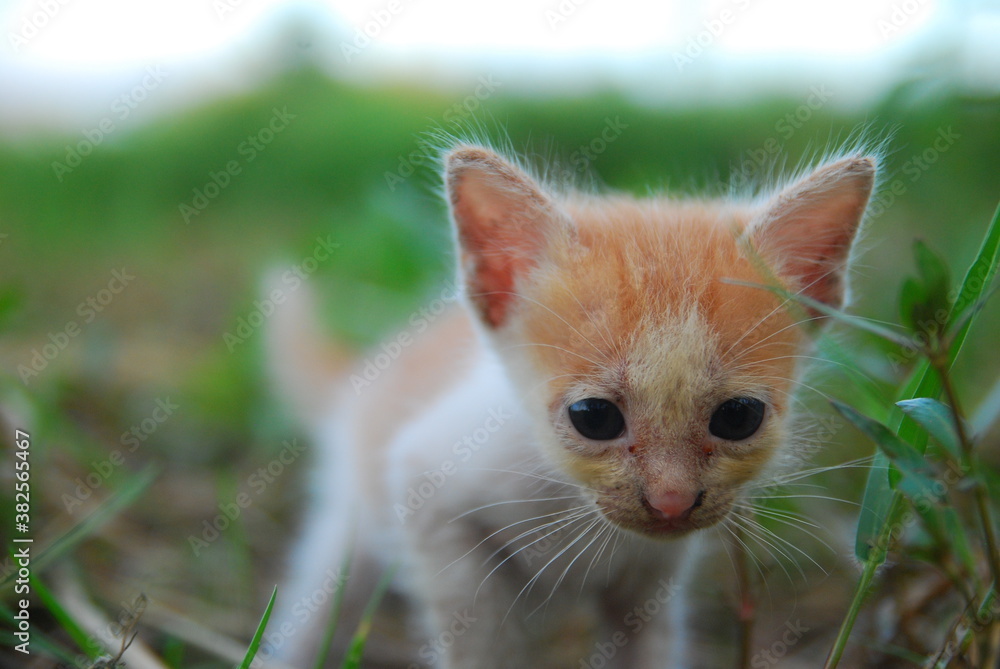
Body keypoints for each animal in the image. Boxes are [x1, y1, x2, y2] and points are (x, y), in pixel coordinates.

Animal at [264, 144, 876, 664]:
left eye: (739, 417)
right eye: (594, 417)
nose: (673, 501)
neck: (570, 502)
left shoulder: (651, 583)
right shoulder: (427, 491)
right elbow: (478, 636)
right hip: (350, 520)